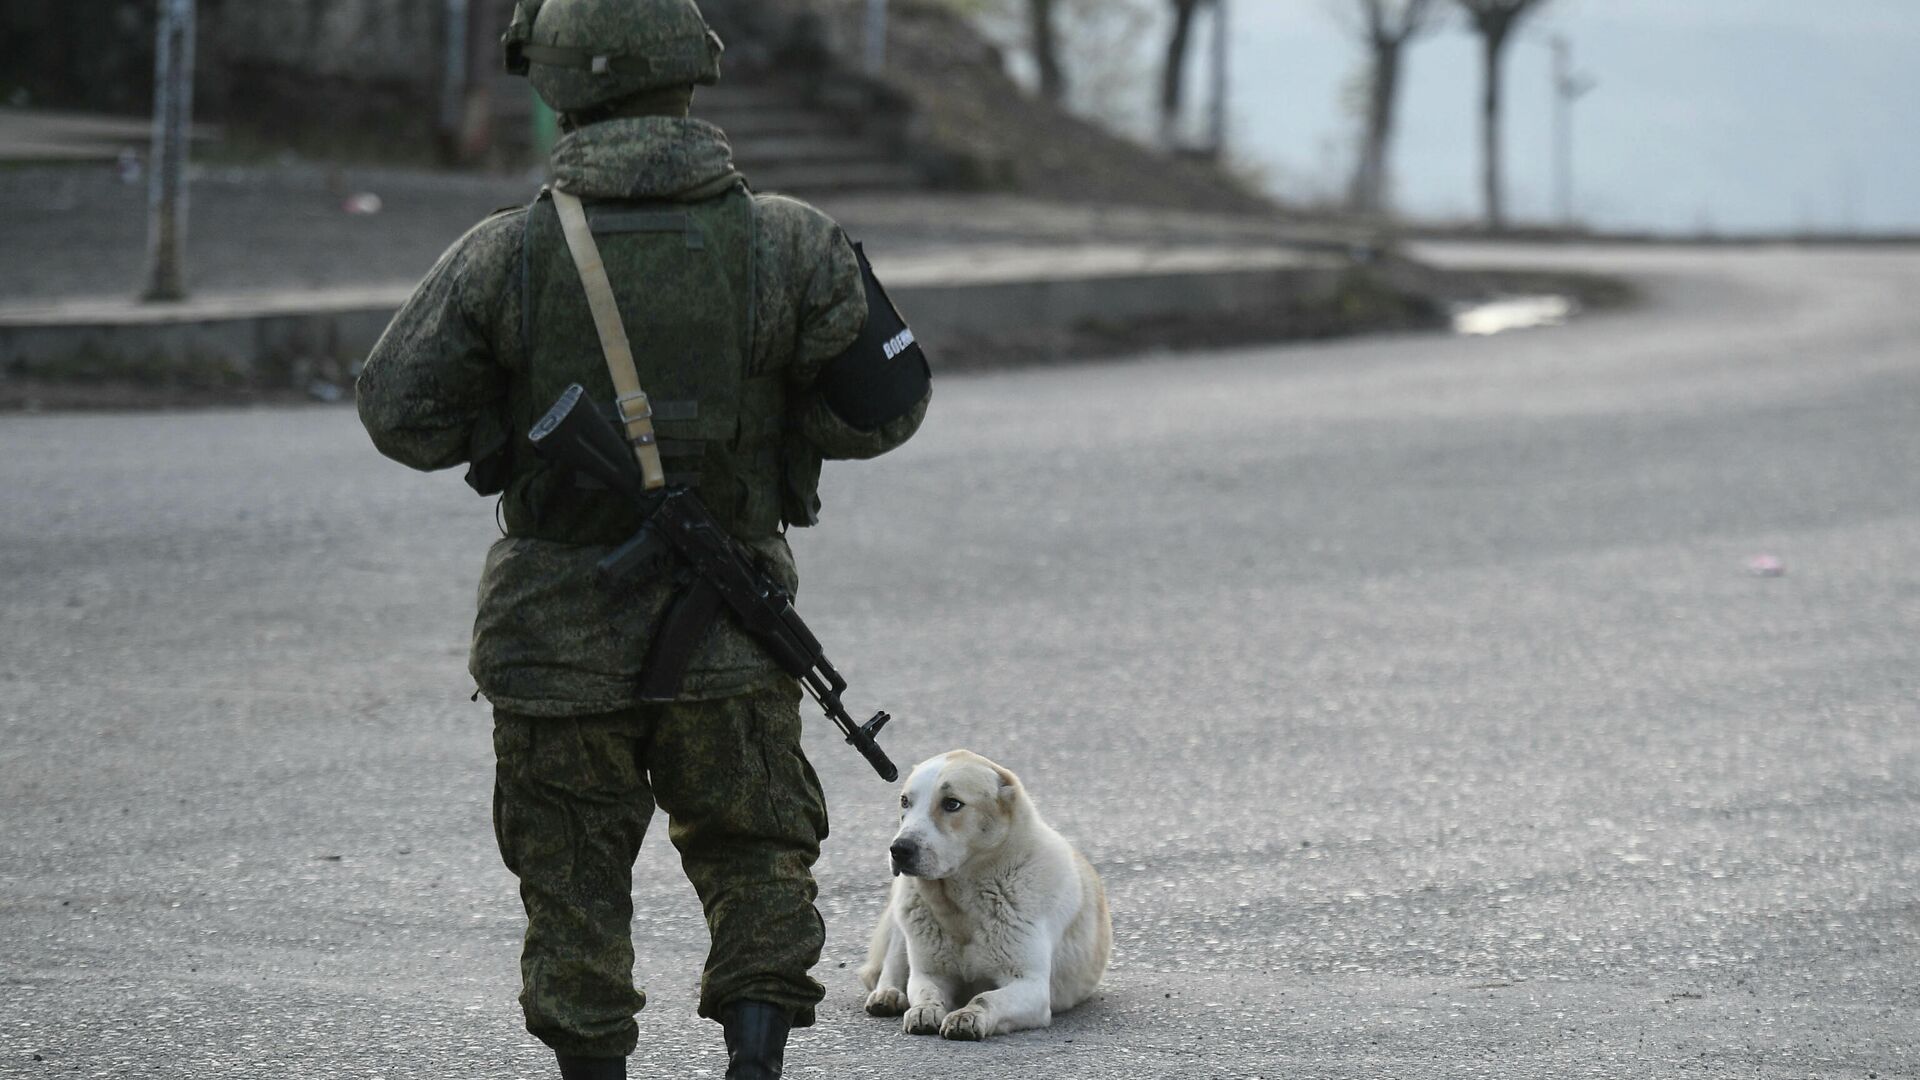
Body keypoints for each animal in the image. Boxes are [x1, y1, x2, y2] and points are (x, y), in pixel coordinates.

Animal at [856, 749, 1113, 1037]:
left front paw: (967, 1016)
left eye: (952, 804)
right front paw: (925, 1009)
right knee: (891, 964)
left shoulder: (1030, 986)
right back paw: (887, 994)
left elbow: (984, 998)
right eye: (904, 802)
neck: (959, 905)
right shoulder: (930, 974)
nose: (899, 849)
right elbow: (926, 991)